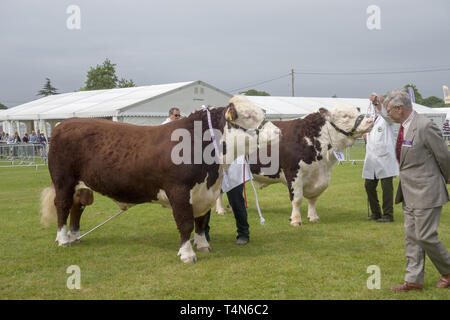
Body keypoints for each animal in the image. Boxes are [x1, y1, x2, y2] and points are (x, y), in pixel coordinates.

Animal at [42, 95, 282, 262]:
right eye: (248, 116)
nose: (278, 132)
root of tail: (64, 124)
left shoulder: (205, 193)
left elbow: (201, 222)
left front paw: (203, 245)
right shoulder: (179, 191)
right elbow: (185, 223)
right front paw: (187, 254)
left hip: (82, 186)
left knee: (77, 207)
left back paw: (74, 236)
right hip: (63, 181)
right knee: (62, 205)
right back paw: (63, 239)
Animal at [216, 104, 374, 226]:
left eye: (358, 111)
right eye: (345, 116)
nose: (370, 120)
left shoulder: (320, 177)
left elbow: (313, 198)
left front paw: (313, 217)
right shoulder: (293, 173)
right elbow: (297, 199)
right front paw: (296, 220)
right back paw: (220, 210)